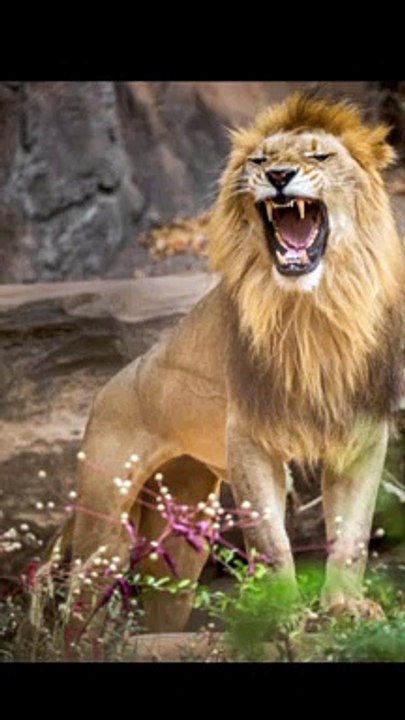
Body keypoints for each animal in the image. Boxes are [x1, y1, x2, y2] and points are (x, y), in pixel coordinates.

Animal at [52, 94, 405, 635]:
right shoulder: (249, 436)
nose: (278, 175)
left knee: (161, 605)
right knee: (75, 608)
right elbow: (270, 539)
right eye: (260, 160)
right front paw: (283, 615)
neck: (313, 309)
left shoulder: (361, 433)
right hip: (105, 530)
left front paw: (347, 609)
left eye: (320, 156)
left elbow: (352, 537)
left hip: (182, 539)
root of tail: (108, 387)